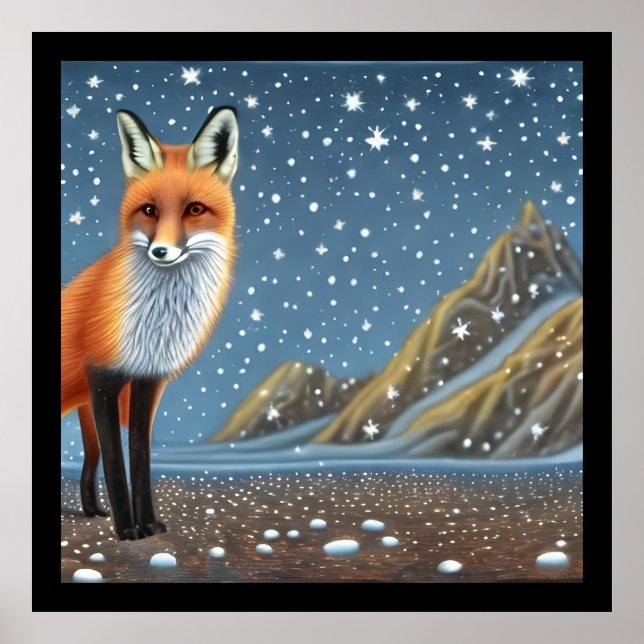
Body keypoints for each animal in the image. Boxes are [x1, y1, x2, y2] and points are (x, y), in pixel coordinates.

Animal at [61, 107, 239, 540]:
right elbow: (116, 464)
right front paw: (128, 529)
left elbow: (140, 460)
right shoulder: (103, 382)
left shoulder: (145, 383)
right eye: (149, 211)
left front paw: (148, 523)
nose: (161, 251)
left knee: (87, 465)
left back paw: (92, 510)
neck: (156, 325)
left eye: (194, 209)